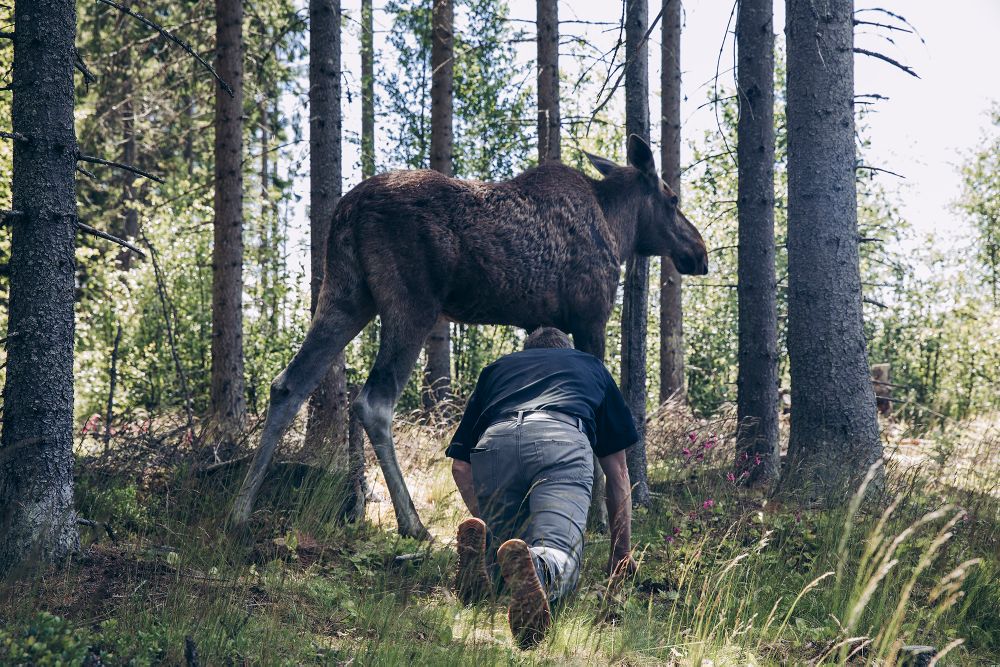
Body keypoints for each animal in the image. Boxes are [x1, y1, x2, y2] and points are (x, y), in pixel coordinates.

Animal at [230, 134, 708, 536]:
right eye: (672, 198)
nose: (699, 252)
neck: (619, 229)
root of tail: (345, 214)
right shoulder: (591, 316)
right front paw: (599, 519)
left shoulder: (539, 321)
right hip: (412, 304)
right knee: (372, 402)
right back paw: (412, 523)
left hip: (347, 295)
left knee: (289, 384)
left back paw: (242, 508)